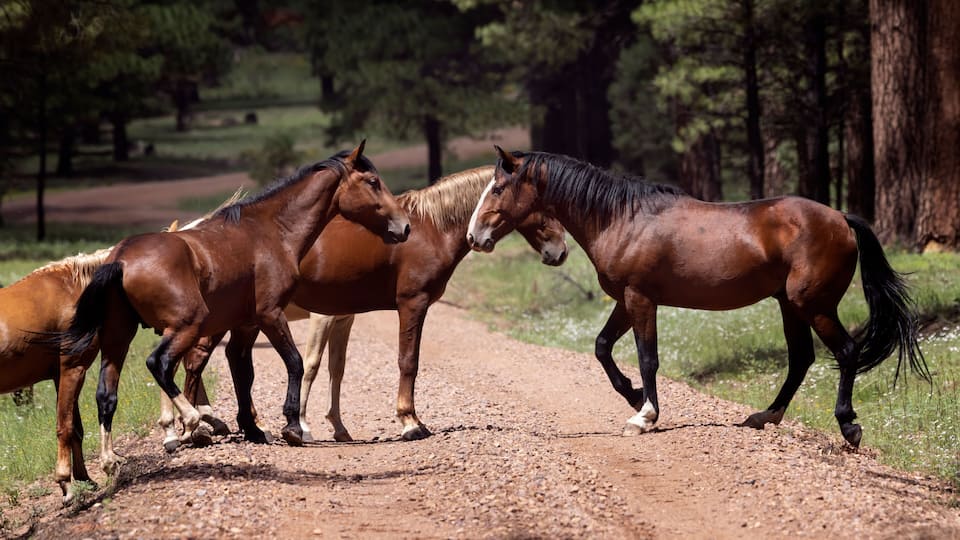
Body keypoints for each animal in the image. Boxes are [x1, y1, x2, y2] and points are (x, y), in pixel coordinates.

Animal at [61, 143, 410, 458]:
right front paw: (292, 426)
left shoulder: (246, 324)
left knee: (106, 394)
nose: (404, 226)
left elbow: (243, 371)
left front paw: (253, 428)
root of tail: (120, 258)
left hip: (118, 338)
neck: (271, 231)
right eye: (373, 182)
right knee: (159, 364)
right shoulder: (270, 315)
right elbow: (294, 362)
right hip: (186, 326)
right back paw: (192, 422)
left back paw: (111, 461)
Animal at [160, 165, 569, 447]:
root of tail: (189, 233)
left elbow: (335, 369)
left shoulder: (342, 317)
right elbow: (406, 361)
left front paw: (334, 426)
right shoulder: (411, 305)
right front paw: (410, 423)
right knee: (192, 362)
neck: (428, 228)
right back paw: (191, 429)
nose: (560, 252)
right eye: (544, 205)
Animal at [467, 147, 929, 447]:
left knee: (847, 352)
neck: (623, 219)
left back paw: (848, 427)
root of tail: (841, 219)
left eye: (497, 189)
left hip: (813, 307)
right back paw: (764, 416)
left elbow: (647, 358)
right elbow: (602, 348)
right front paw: (634, 395)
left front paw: (645, 415)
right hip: (790, 306)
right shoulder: (625, 301)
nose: (474, 237)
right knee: (802, 359)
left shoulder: (640, 299)